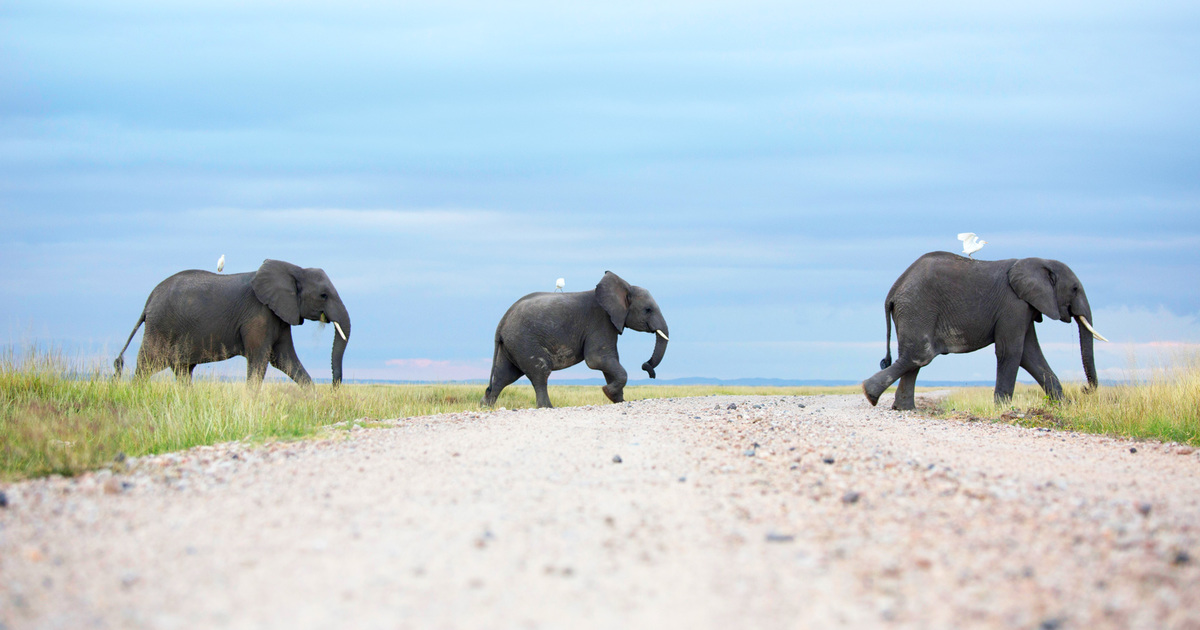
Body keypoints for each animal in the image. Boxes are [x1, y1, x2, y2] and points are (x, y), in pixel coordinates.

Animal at [112, 258, 350, 386]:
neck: (294, 269)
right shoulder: (258, 314)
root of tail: (149, 300)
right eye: (323, 296)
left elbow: (285, 359)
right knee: (147, 365)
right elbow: (260, 359)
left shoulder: (279, 315)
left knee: (182, 370)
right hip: (161, 327)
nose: (334, 387)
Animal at [480, 270, 672, 408]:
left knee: (504, 375)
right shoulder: (601, 322)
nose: (646, 367)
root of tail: (502, 323)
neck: (623, 287)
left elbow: (608, 362)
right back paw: (547, 407)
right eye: (648, 310)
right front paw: (608, 392)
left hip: (512, 345)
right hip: (524, 341)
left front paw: (617, 400)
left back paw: (486, 406)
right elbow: (597, 359)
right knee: (540, 372)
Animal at [864, 253, 1104, 410]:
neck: (1037, 261)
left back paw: (903, 408)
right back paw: (869, 394)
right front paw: (1002, 409)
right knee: (920, 355)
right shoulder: (1013, 304)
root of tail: (894, 291)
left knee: (913, 358)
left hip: (913, 311)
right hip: (918, 308)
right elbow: (1012, 352)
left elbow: (1030, 355)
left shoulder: (1025, 307)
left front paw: (1064, 407)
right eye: (1074, 289)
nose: (1085, 390)